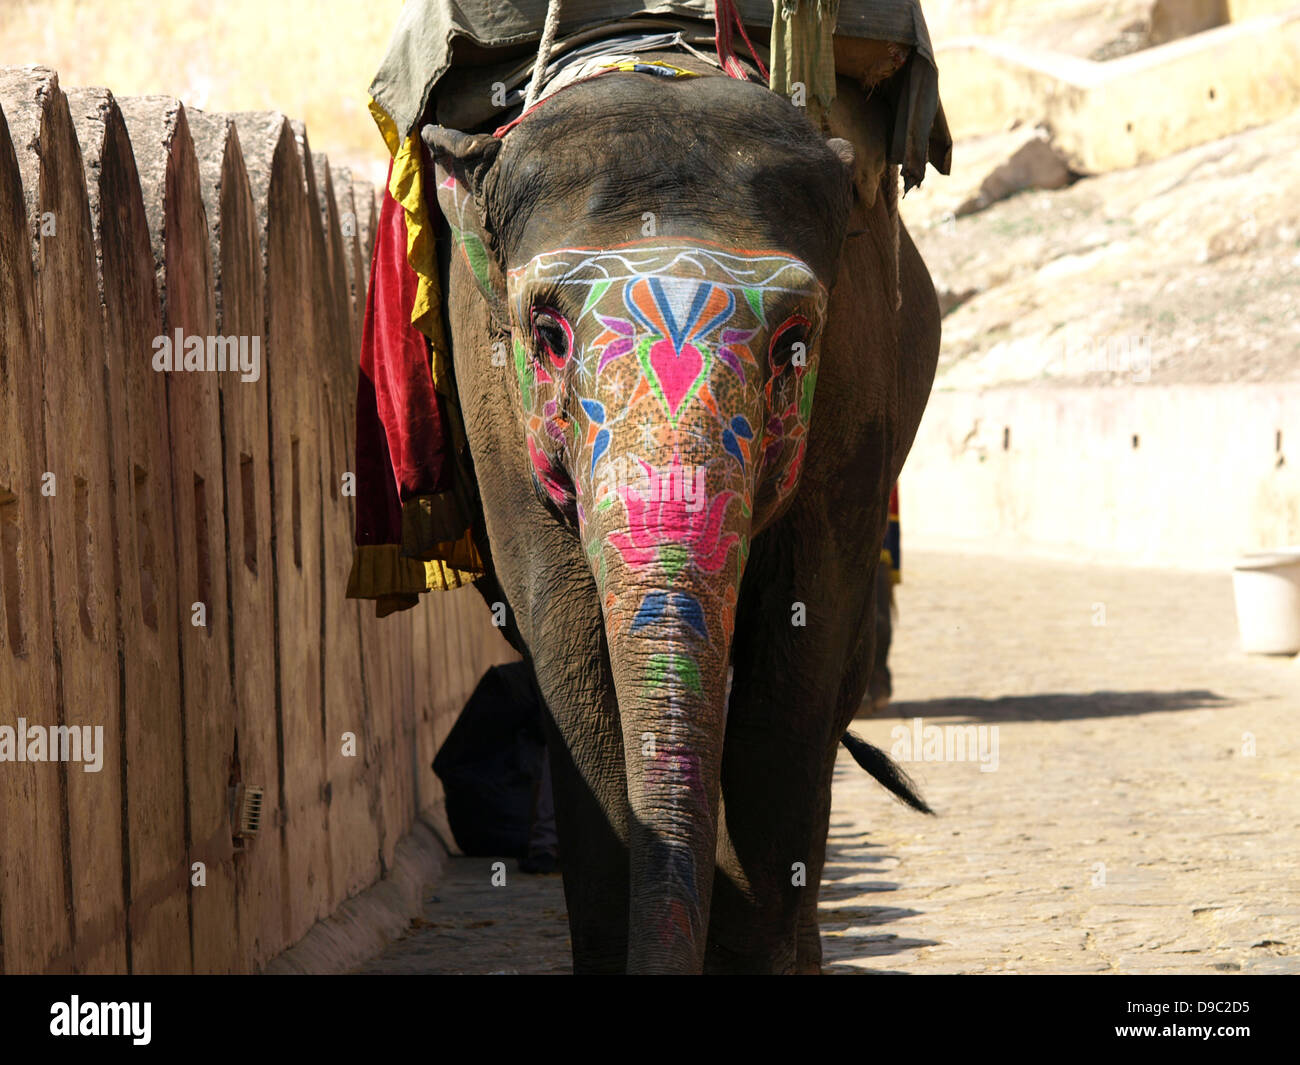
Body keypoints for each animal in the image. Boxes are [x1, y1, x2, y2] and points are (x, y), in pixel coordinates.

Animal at [423, 52, 940, 973]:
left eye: (794, 343)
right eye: (546, 333)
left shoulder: (856, 400)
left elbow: (798, 665)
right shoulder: (494, 414)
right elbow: (567, 649)